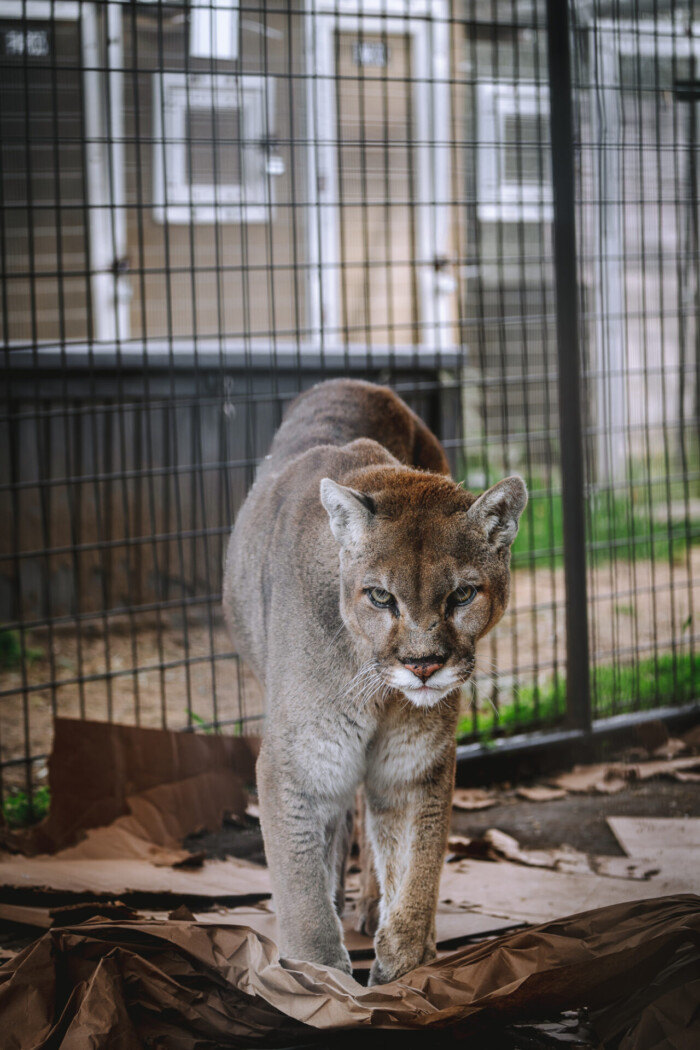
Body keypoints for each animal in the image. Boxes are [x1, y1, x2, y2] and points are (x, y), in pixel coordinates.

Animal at [224, 380, 524, 982]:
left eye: (462, 594)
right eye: (381, 597)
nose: (424, 664)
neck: (379, 692)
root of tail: (357, 383)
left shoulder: (412, 765)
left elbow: (418, 867)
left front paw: (405, 958)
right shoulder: (298, 765)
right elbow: (303, 893)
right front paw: (317, 977)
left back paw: (372, 909)